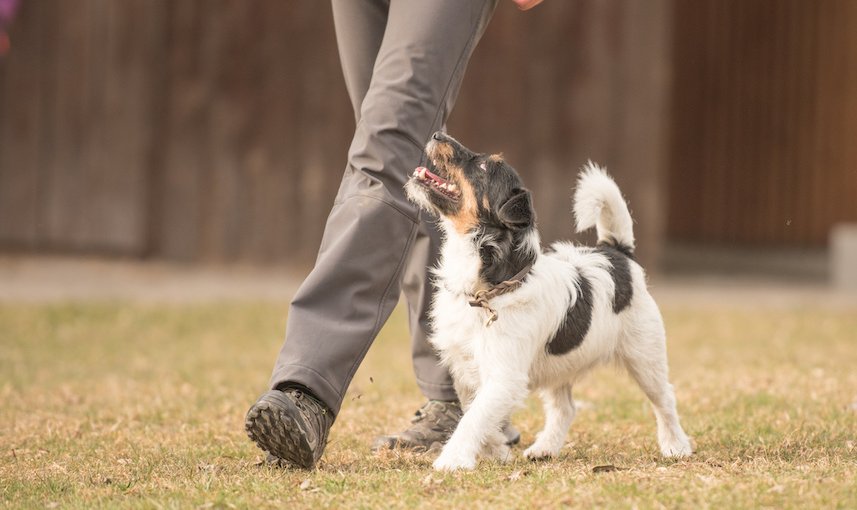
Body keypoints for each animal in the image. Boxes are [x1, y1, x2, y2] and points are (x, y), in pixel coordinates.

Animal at [404, 131, 692, 470]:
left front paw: (453, 460)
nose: (437, 134)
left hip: (645, 356)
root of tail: (617, 252)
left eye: (486, 167)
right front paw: (496, 450)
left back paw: (675, 445)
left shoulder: (504, 376)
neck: (490, 288)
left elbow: (473, 418)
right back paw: (545, 448)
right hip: (560, 365)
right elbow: (475, 410)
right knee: (565, 408)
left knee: (664, 399)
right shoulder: (465, 368)